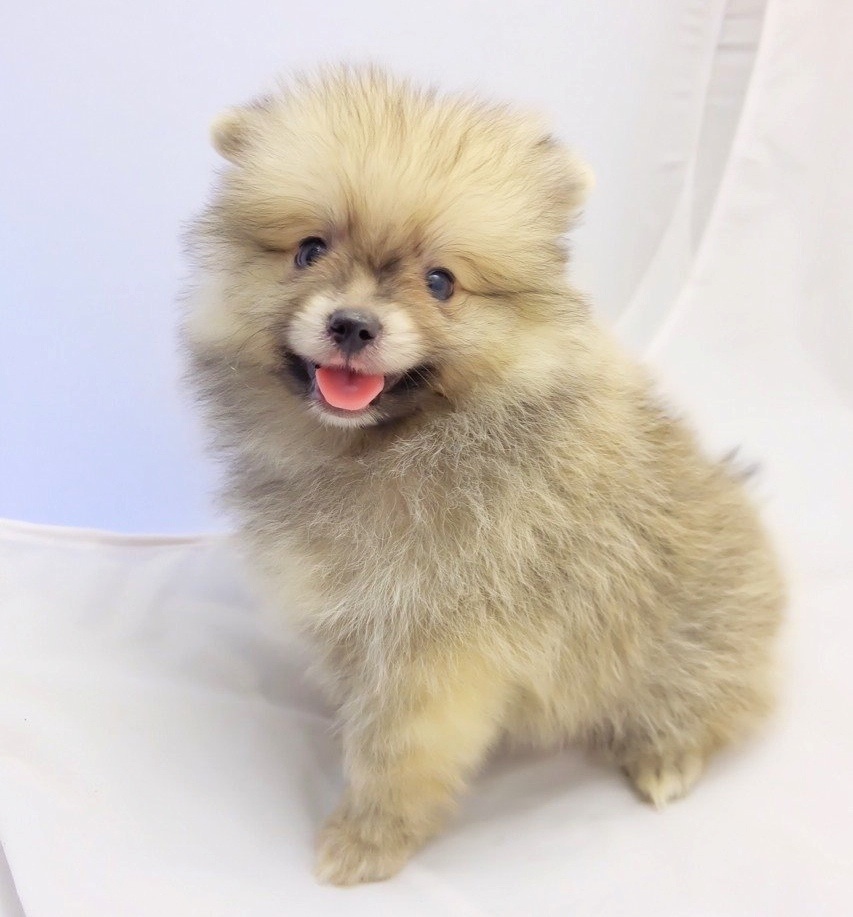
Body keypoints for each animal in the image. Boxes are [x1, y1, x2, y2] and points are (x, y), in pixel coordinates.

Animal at [182, 66, 784, 885]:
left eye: (441, 281)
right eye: (308, 250)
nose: (352, 324)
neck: (385, 450)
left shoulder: (435, 645)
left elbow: (398, 752)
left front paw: (367, 837)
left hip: (691, 637)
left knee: (708, 702)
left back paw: (667, 757)